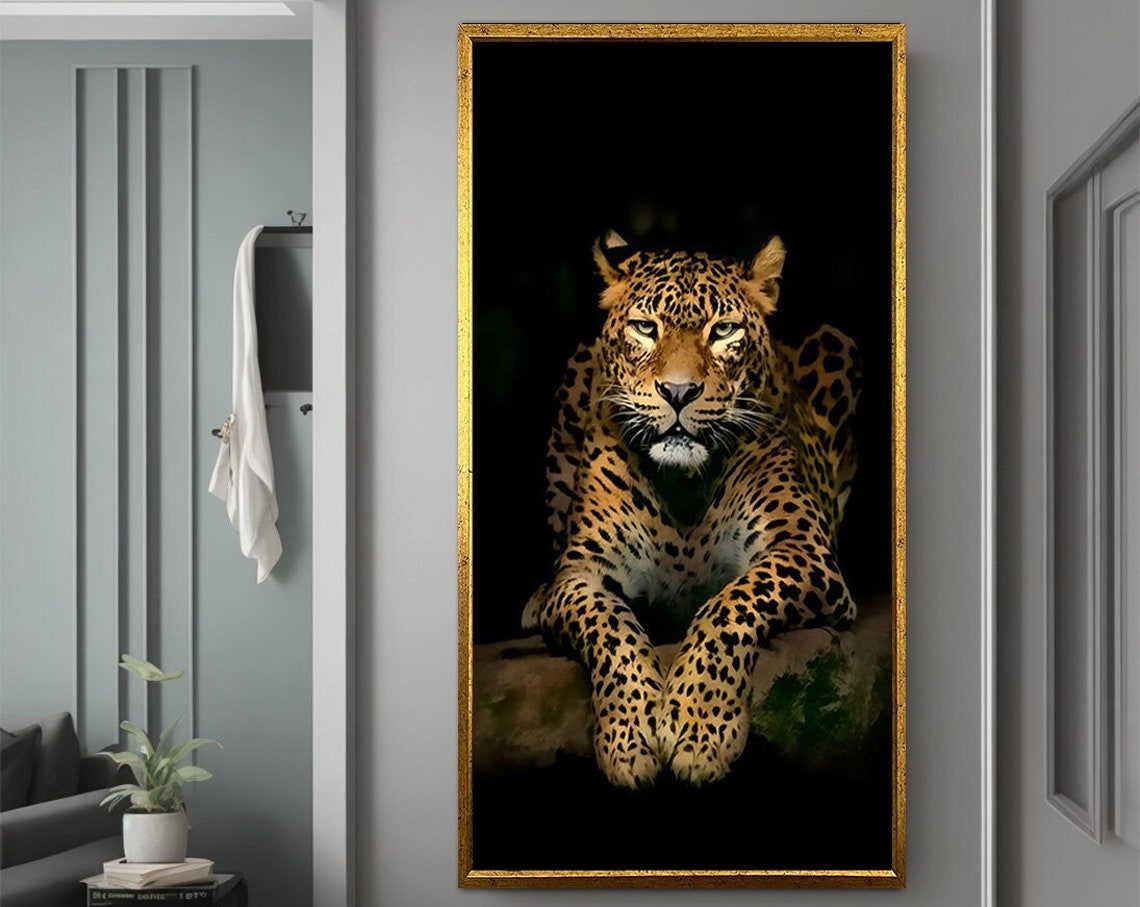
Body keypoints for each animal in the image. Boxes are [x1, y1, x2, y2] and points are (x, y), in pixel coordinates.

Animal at [521, 230, 863, 788]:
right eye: (645, 328)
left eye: (723, 330)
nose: (678, 392)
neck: (681, 485)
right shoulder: (582, 574)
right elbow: (610, 626)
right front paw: (629, 736)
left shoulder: (803, 551)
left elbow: (731, 603)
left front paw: (700, 730)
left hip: (838, 342)